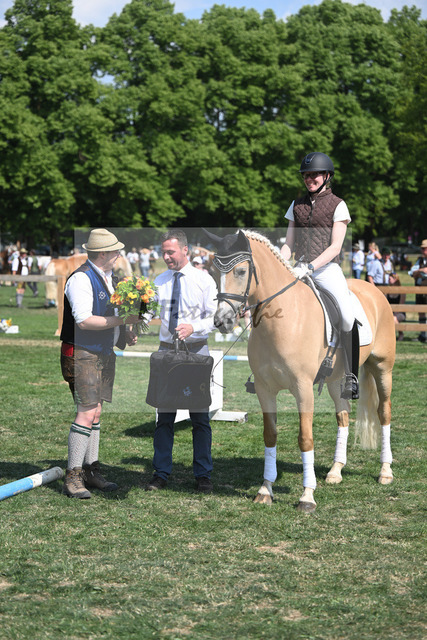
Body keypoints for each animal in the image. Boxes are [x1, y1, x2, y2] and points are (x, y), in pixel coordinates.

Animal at [208, 229, 396, 513]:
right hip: (336, 379)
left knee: (383, 413)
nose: (222, 321)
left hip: (382, 368)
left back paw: (385, 471)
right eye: (212, 272)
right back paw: (335, 471)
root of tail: (374, 289)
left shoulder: (303, 388)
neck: (282, 319)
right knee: (343, 416)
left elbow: (305, 438)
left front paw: (307, 496)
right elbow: (269, 436)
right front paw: (265, 490)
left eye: (240, 271)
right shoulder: (265, 389)